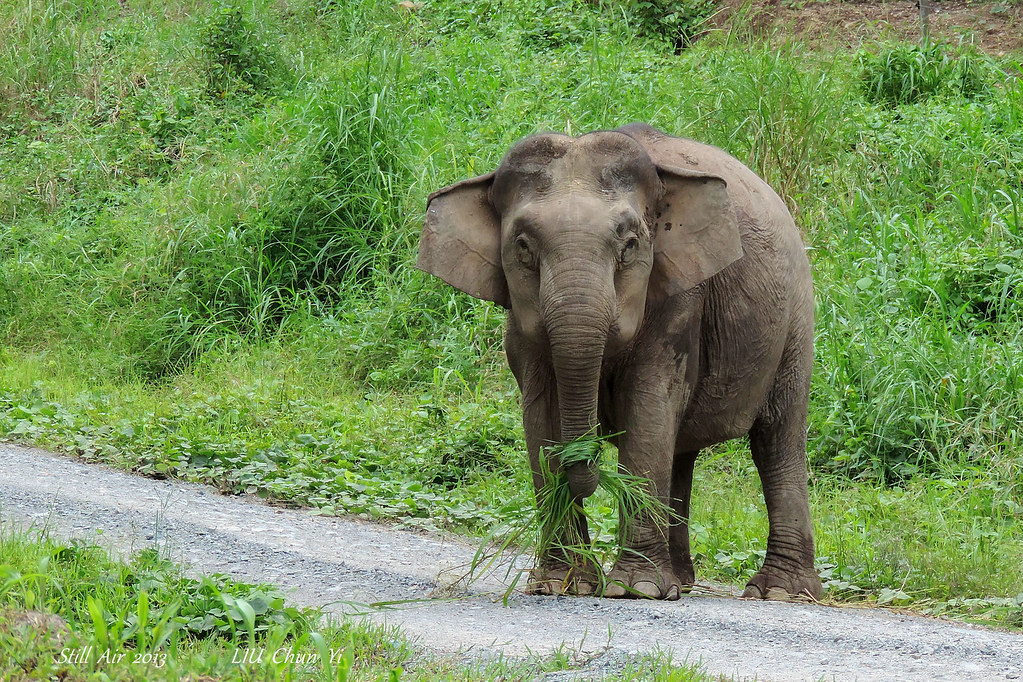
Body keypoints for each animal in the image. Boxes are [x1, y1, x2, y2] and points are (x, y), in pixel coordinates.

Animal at [417, 123, 822, 602]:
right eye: (522, 247)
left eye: (629, 246)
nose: (587, 463)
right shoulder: (520, 322)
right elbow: (542, 419)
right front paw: (561, 584)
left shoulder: (679, 299)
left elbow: (647, 406)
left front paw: (636, 589)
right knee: (682, 451)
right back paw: (682, 581)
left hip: (795, 320)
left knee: (777, 438)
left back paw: (779, 592)